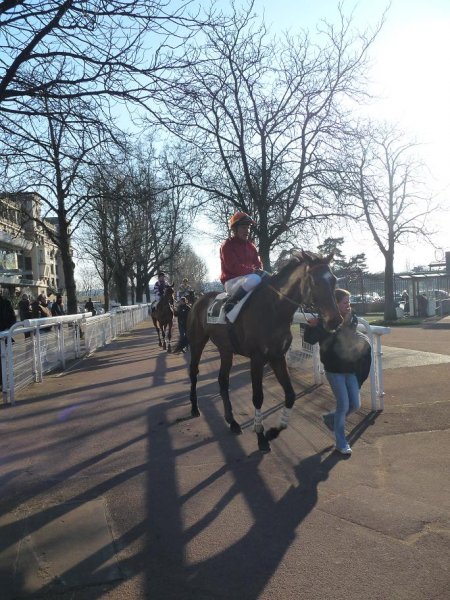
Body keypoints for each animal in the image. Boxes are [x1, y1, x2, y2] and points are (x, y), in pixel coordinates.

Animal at [185, 248, 342, 450]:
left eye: (334, 279)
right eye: (314, 281)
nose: (335, 320)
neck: (274, 309)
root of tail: (199, 299)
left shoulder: (278, 357)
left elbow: (290, 395)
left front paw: (274, 431)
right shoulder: (257, 359)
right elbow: (258, 396)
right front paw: (260, 435)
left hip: (226, 349)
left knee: (223, 380)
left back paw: (232, 422)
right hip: (197, 342)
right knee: (194, 372)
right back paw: (194, 407)